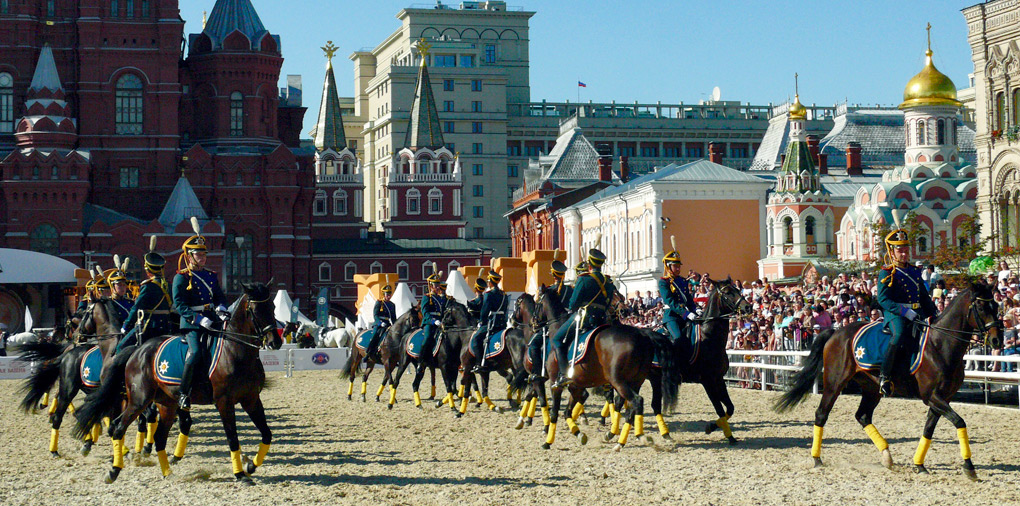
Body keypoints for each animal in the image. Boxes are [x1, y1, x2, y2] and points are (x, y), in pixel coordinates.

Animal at [72, 283, 281, 483]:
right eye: (254, 309)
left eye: (272, 307)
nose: (275, 342)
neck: (235, 351)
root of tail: (138, 350)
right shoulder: (224, 402)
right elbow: (232, 439)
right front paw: (240, 474)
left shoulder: (251, 399)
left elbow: (267, 434)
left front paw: (250, 466)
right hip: (139, 401)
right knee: (118, 427)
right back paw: (114, 471)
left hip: (166, 404)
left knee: (159, 436)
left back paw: (166, 471)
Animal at [775, 283, 999, 479]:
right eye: (981, 306)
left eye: (996, 306)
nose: (997, 340)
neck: (940, 344)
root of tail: (836, 332)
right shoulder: (932, 396)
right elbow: (959, 421)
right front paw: (969, 466)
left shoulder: (942, 398)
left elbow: (929, 429)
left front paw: (919, 465)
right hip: (834, 383)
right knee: (822, 414)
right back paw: (817, 459)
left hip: (871, 388)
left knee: (863, 416)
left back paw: (887, 456)